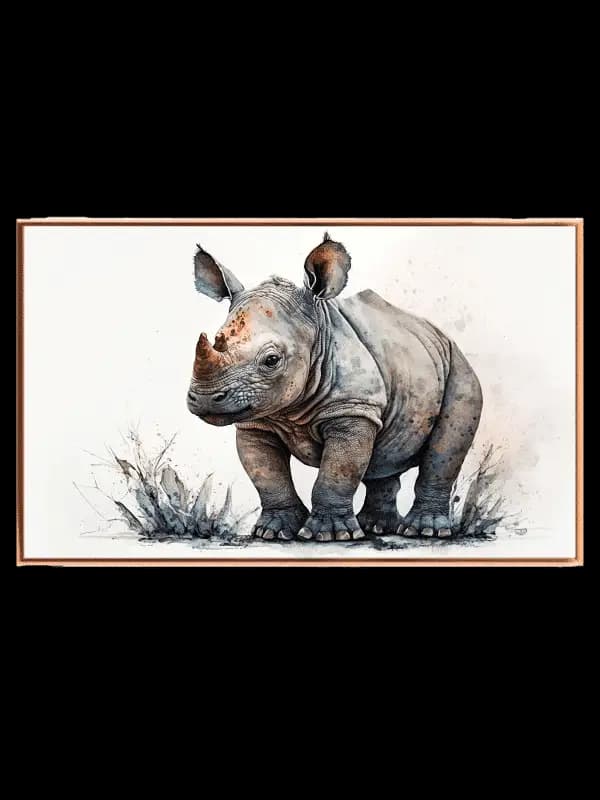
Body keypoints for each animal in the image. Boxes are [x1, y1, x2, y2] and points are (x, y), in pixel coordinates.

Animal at [187, 233, 483, 542]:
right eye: (216, 341)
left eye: (272, 360)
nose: (205, 398)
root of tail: (442, 335)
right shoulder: (256, 421)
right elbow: (267, 475)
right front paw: (272, 532)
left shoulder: (352, 409)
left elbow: (337, 472)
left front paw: (328, 535)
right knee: (385, 458)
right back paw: (377, 527)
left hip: (460, 370)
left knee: (444, 447)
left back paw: (424, 531)